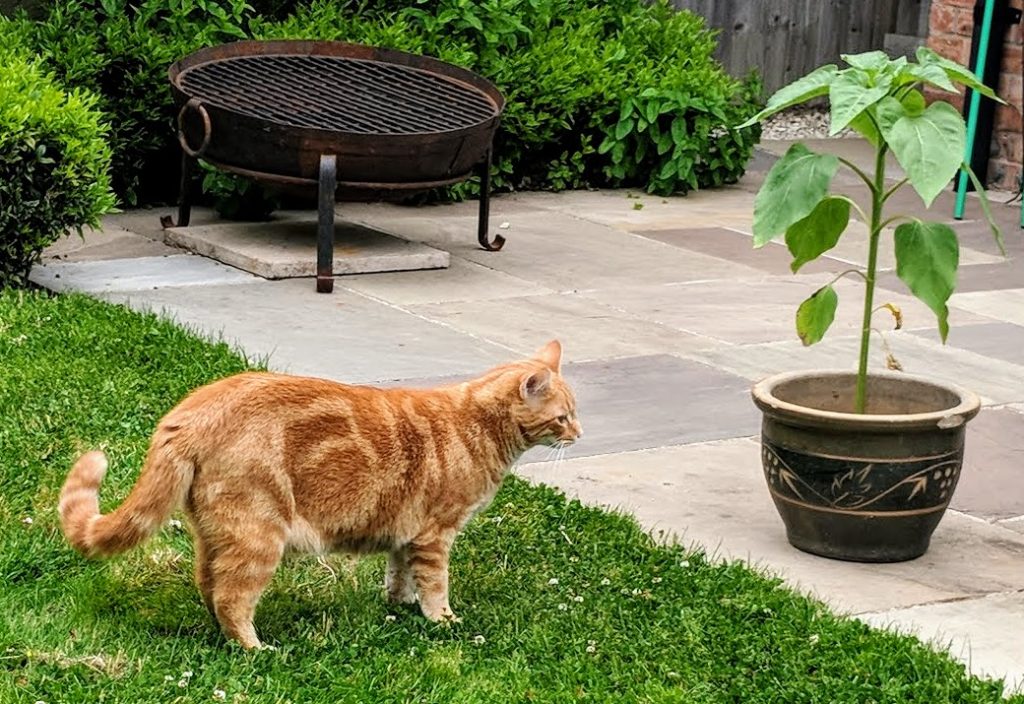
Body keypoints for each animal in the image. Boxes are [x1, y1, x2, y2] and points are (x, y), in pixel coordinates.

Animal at [59, 341, 581, 650]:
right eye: (562, 418)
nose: (579, 433)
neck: (478, 427)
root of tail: (190, 412)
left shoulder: (407, 534)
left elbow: (400, 575)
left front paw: (399, 606)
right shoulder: (436, 535)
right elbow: (435, 586)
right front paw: (442, 621)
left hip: (215, 534)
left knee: (207, 583)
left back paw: (224, 635)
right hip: (259, 536)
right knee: (232, 595)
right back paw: (253, 649)